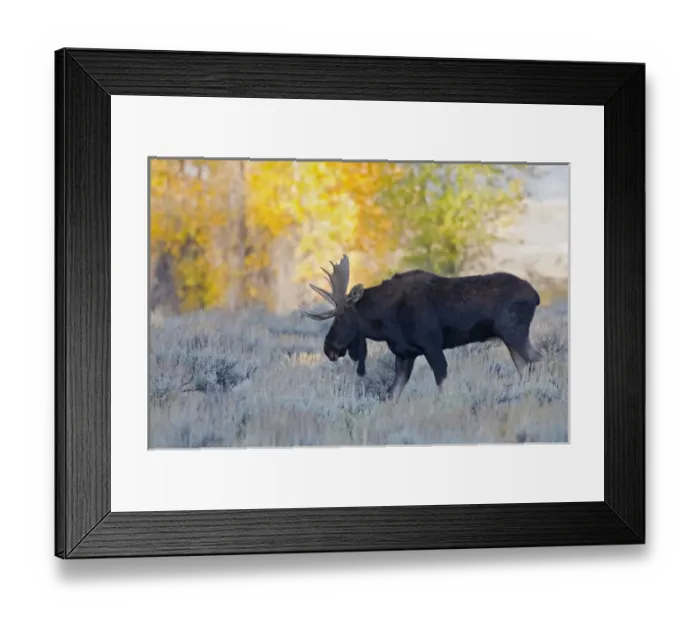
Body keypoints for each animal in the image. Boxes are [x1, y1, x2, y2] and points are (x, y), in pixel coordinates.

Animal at [300, 255, 543, 402]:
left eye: (340, 317)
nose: (328, 348)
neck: (386, 320)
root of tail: (536, 296)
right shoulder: (405, 353)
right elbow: (391, 394)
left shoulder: (431, 345)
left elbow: (442, 384)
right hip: (510, 339)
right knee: (526, 368)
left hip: (515, 332)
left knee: (538, 360)